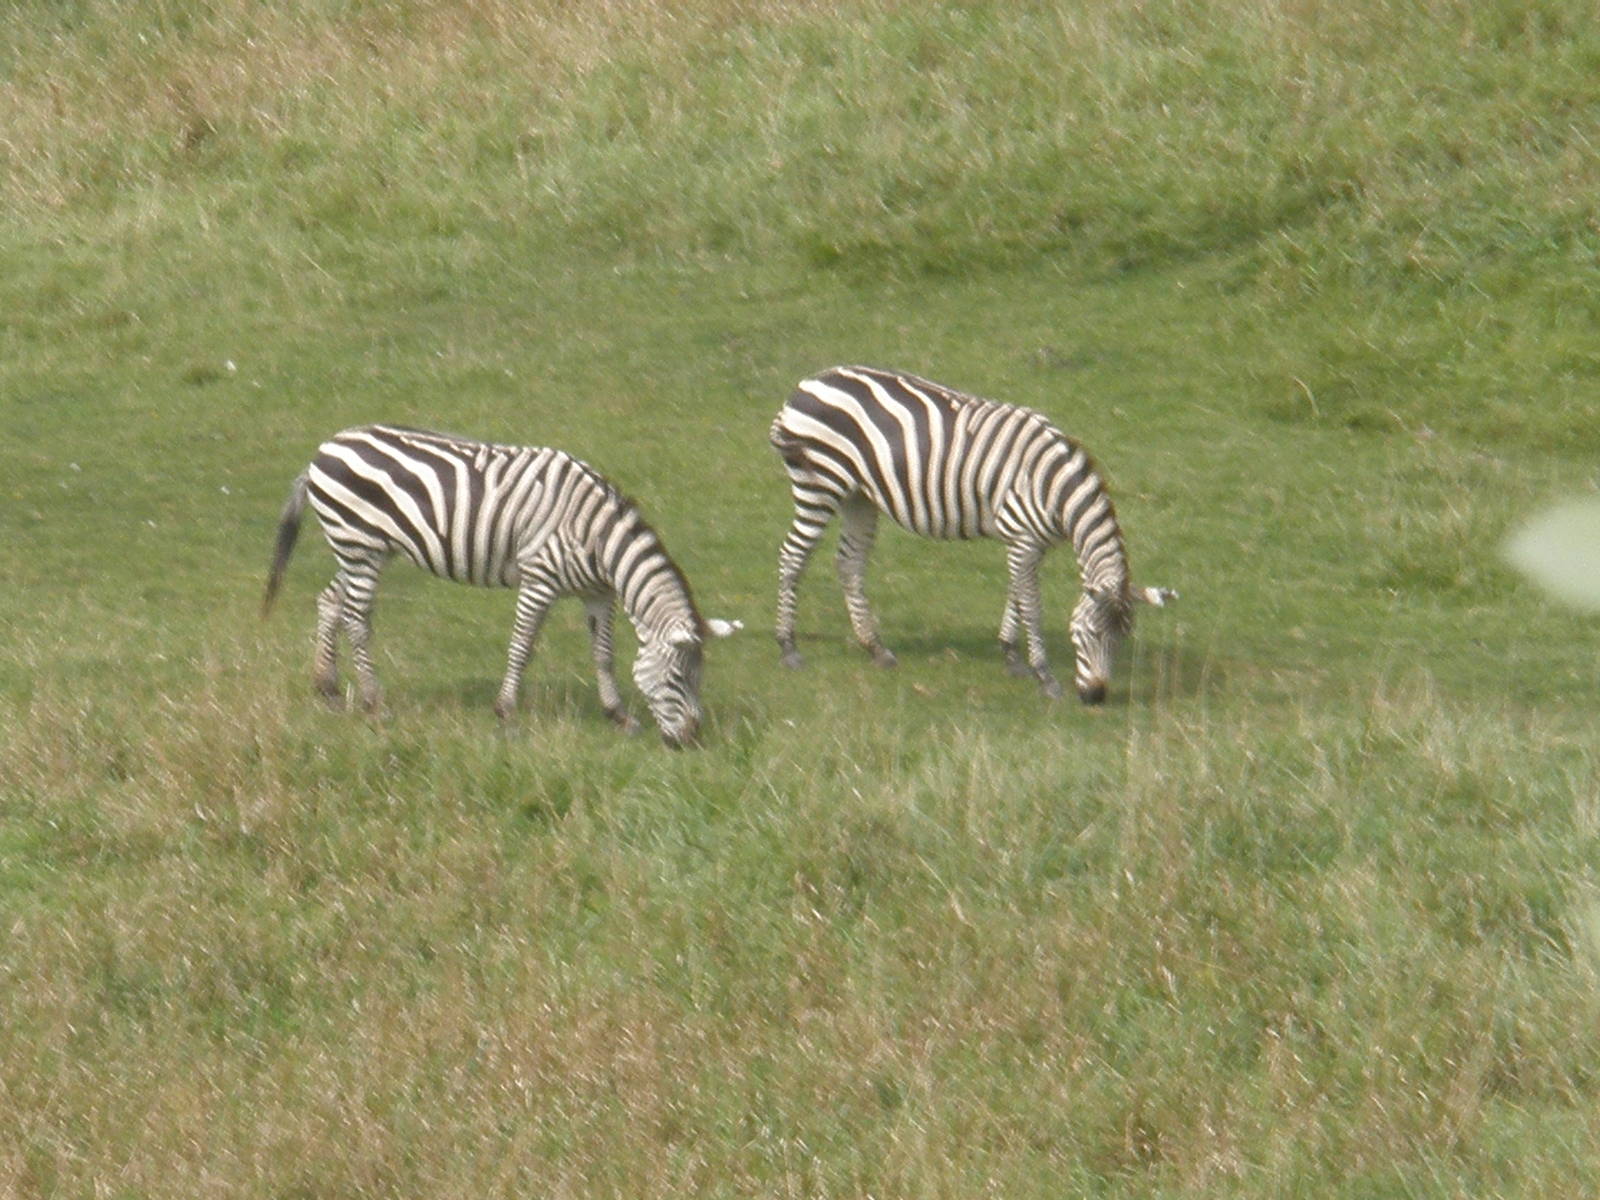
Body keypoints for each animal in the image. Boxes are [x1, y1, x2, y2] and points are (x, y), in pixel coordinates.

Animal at [262, 424, 741, 747]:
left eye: (699, 677)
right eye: (678, 677)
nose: (691, 739)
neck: (597, 537)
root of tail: (326, 447)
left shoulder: (597, 593)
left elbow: (603, 655)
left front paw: (619, 715)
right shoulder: (539, 578)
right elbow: (522, 646)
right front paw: (505, 711)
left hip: (363, 548)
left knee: (331, 601)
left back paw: (326, 685)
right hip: (358, 543)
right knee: (358, 619)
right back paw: (372, 701)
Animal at [770, 366, 1175, 704]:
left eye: (1123, 639)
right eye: (1089, 634)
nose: (1095, 698)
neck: (1053, 487)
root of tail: (808, 383)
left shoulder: (1030, 542)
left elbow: (1016, 594)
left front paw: (1011, 656)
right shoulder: (1023, 538)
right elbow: (1031, 605)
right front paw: (1044, 676)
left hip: (859, 496)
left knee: (849, 564)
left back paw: (876, 649)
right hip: (819, 485)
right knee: (793, 555)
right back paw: (788, 648)